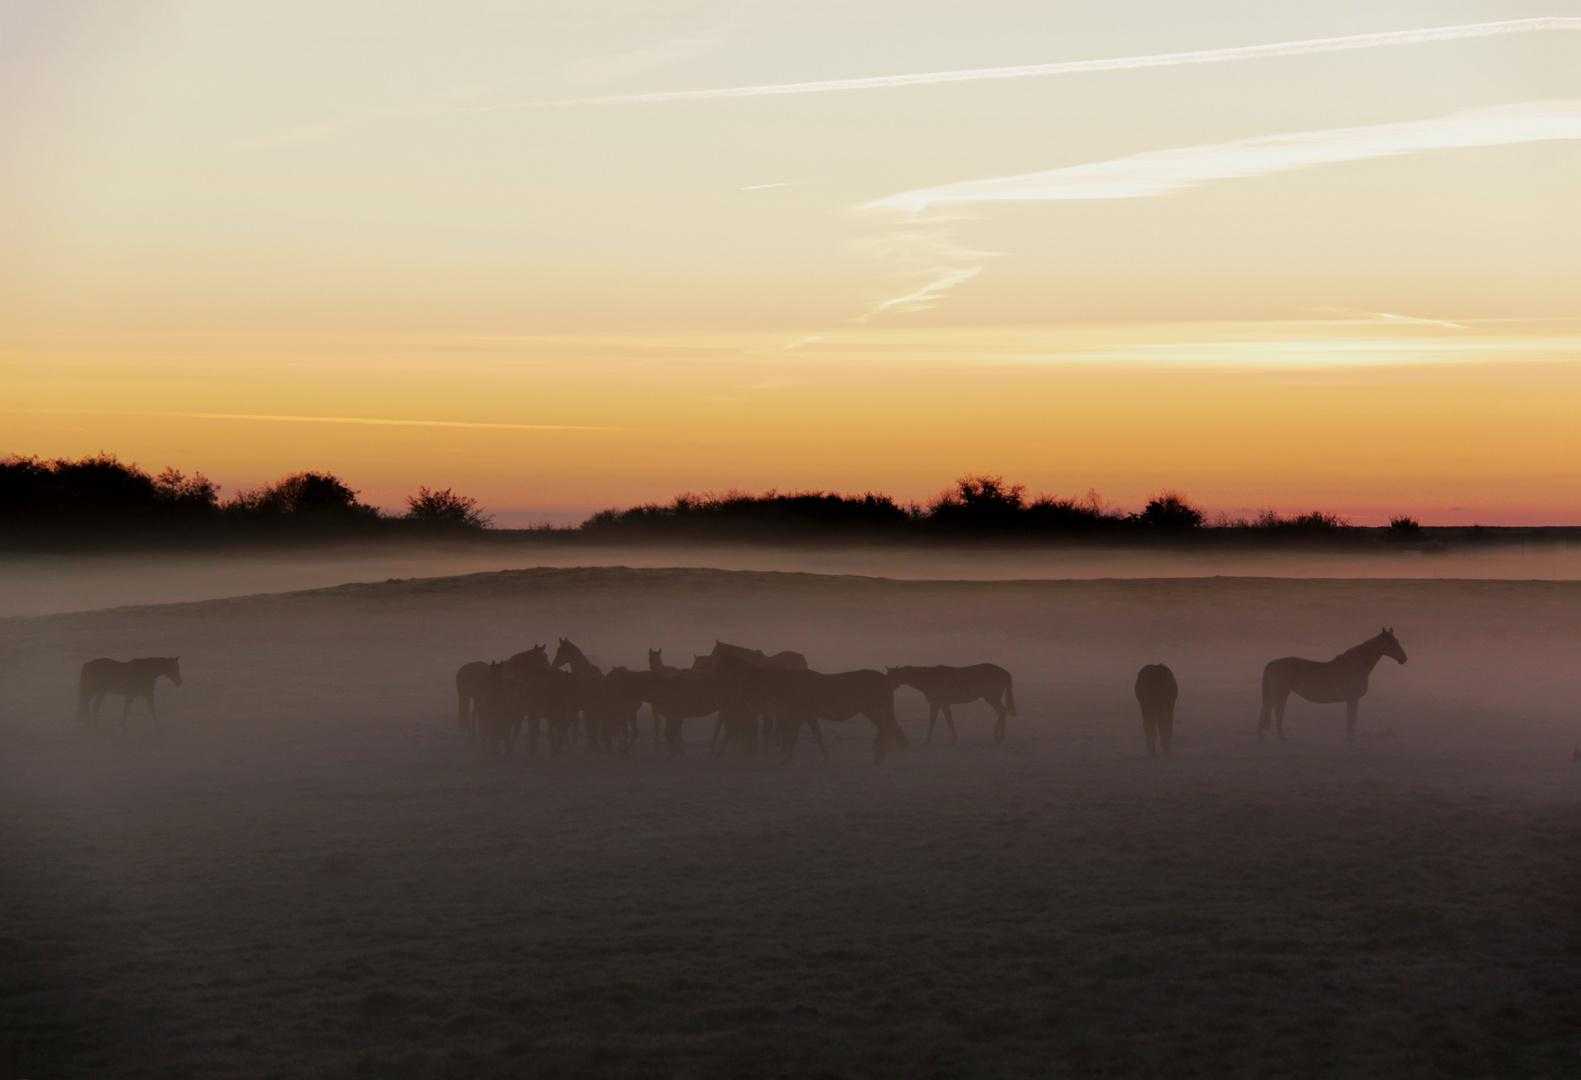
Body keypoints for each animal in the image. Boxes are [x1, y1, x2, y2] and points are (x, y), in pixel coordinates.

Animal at [885, 664, 1018, 746]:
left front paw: (926, 742)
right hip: (991, 698)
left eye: (892, 677)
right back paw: (998, 736)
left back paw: (999, 737)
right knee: (1002, 712)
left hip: (991, 698)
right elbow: (949, 720)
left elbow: (932, 722)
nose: (885, 688)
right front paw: (954, 740)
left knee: (1002, 711)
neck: (928, 678)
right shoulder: (944, 703)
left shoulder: (936, 704)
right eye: (887, 676)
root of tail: (1005, 672)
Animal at [1258, 626, 1410, 743]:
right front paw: (1352, 740)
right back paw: (1261, 739)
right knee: (1266, 710)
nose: (1404, 659)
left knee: (1277, 713)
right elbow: (1352, 719)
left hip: (1284, 693)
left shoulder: (1351, 699)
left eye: (1396, 641)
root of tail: (1273, 663)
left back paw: (1282, 738)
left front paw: (1349, 739)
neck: (1356, 666)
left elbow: (1350, 719)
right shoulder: (1353, 698)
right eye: (1390, 642)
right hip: (1278, 693)